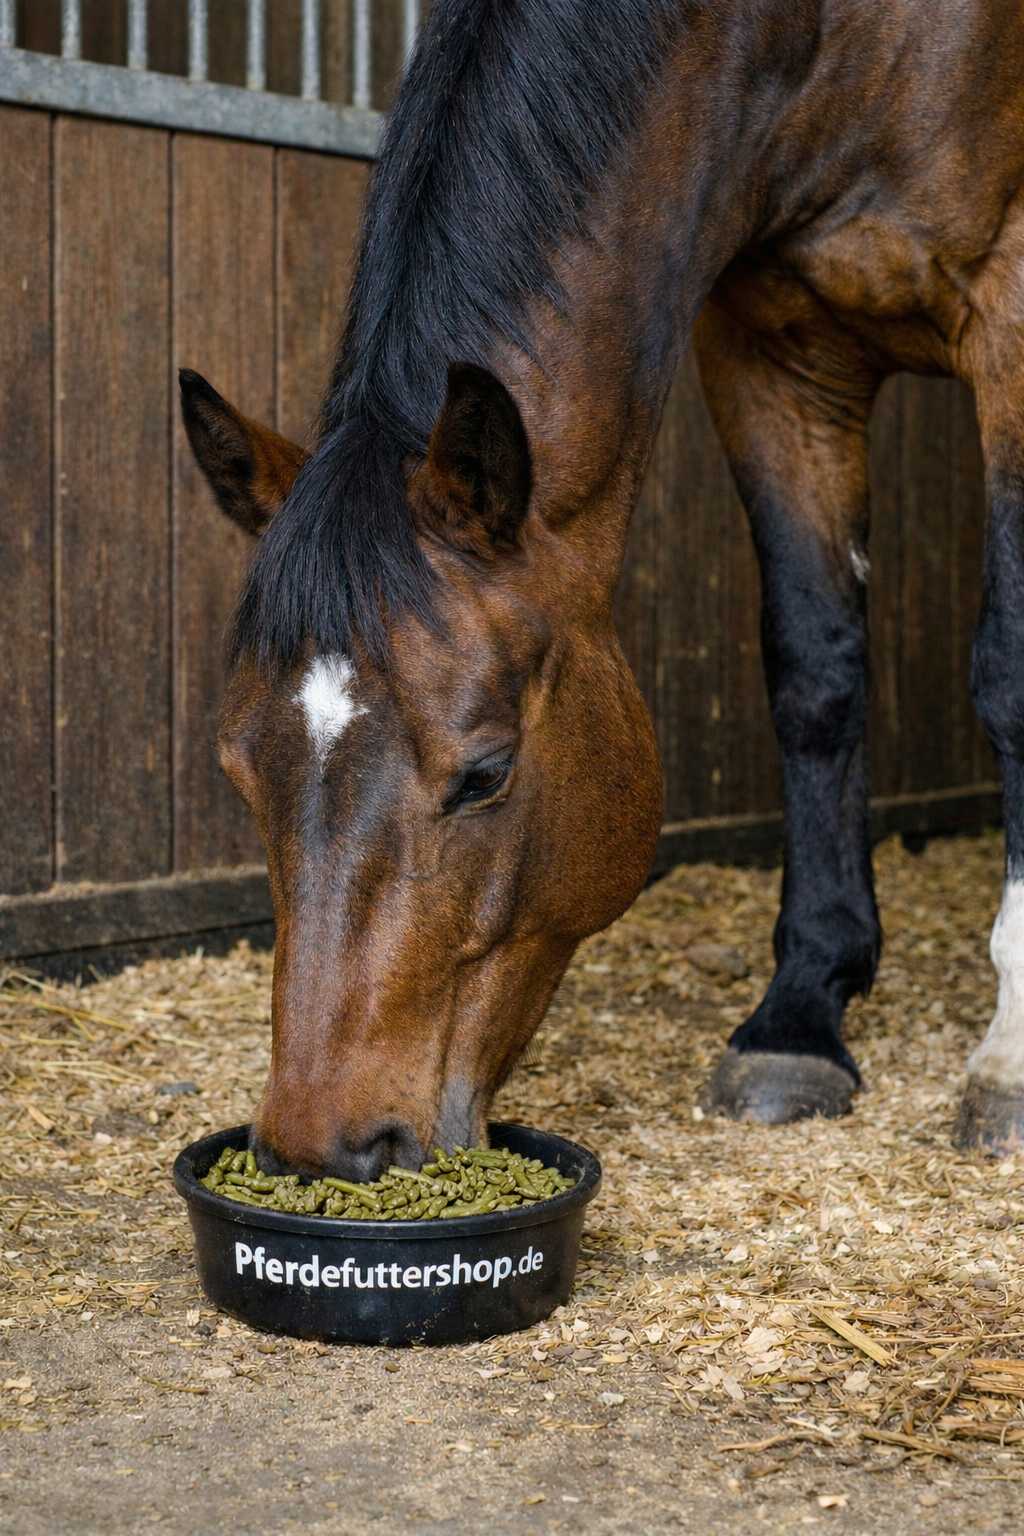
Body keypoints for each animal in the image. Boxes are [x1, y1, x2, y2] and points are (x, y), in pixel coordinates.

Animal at [179, 0, 1024, 1178]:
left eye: (485, 774)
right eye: (238, 771)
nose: (319, 1148)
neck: (834, 40)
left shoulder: (1011, 316)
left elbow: (1009, 672)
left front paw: (1009, 1057)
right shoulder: (774, 352)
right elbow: (815, 671)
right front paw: (798, 1018)